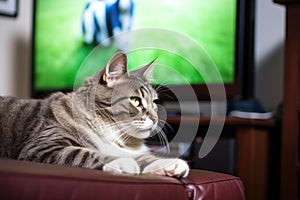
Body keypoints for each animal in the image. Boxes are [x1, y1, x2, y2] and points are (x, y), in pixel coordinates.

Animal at [0, 52, 189, 178]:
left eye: (154, 102)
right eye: (135, 101)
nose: (156, 119)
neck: (112, 132)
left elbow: (144, 157)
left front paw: (171, 164)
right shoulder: (43, 145)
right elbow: (86, 153)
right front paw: (123, 162)